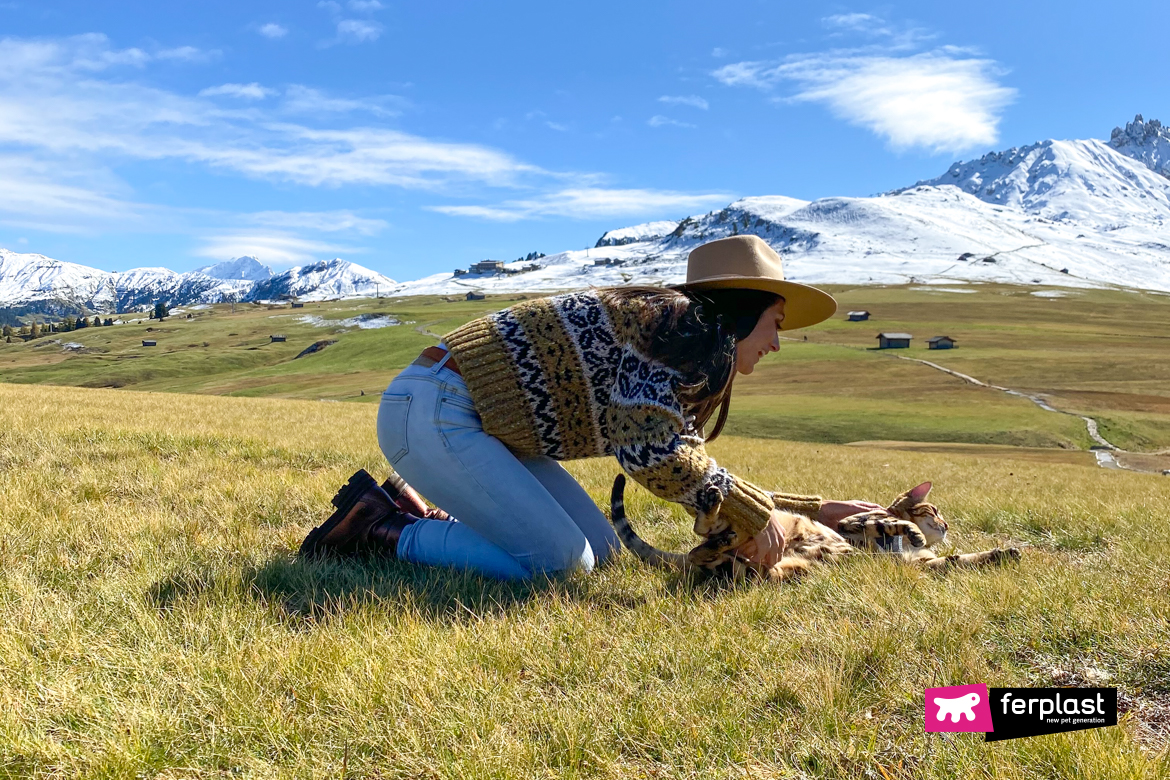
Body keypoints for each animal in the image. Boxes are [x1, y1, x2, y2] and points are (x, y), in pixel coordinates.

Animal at [608, 472, 1020, 582]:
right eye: (933, 508)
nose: (947, 523)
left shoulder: (917, 565)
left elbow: (956, 560)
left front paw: (1003, 551)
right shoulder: (855, 523)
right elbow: (889, 520)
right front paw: (912, 529)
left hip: (769, 568)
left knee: (721, 559)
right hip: (754, 520)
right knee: (701, 535)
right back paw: (712, 507)